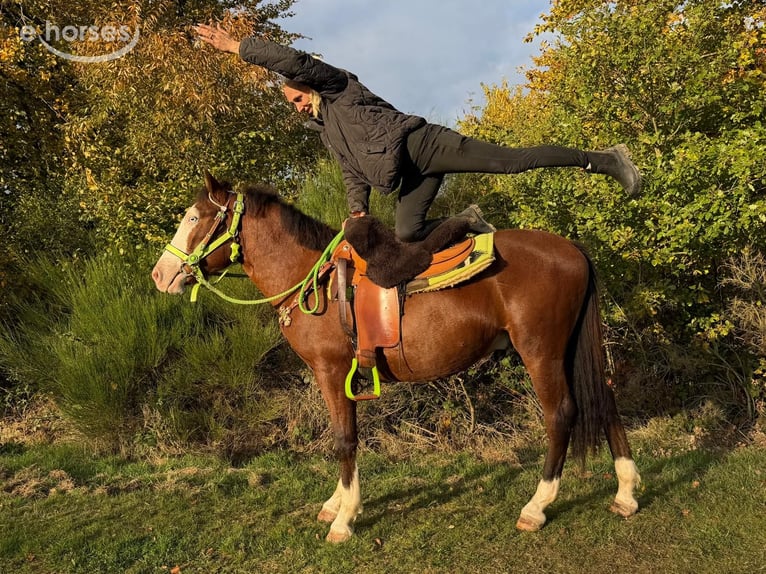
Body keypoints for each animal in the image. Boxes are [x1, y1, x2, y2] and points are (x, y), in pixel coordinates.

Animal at [151, 172, 640, 543]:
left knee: (561, 415)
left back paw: (537, 506)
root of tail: (573, 250)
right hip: (570, 349)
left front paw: (345, 518)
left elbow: (344, 440)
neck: (313, 280)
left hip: (541, 352)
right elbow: (343, 438)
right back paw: (626, 493)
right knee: (606, 401)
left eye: (194, 217)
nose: (160, 274)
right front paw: (335, 504)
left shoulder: (332, 372)